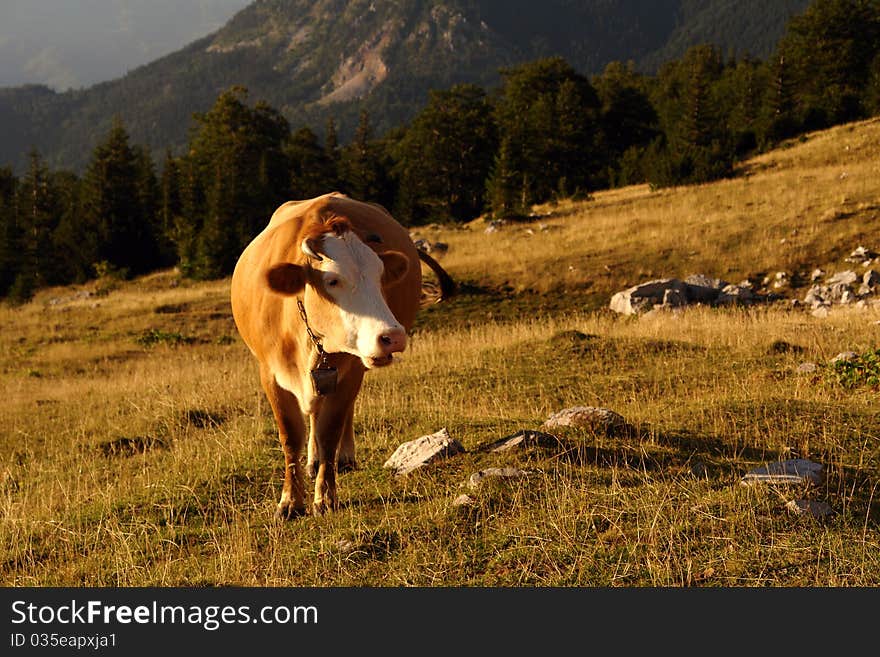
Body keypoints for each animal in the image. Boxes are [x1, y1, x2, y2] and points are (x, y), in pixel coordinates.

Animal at [230, 190, 422, 516]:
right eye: (332, 280)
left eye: (380, 276)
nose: (392, 337)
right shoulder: (270, 374)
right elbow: (290, 436)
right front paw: (290, 501)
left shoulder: (348, 372)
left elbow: (330, 429)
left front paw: (325, 496)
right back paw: (313, 460)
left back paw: (340, 457)